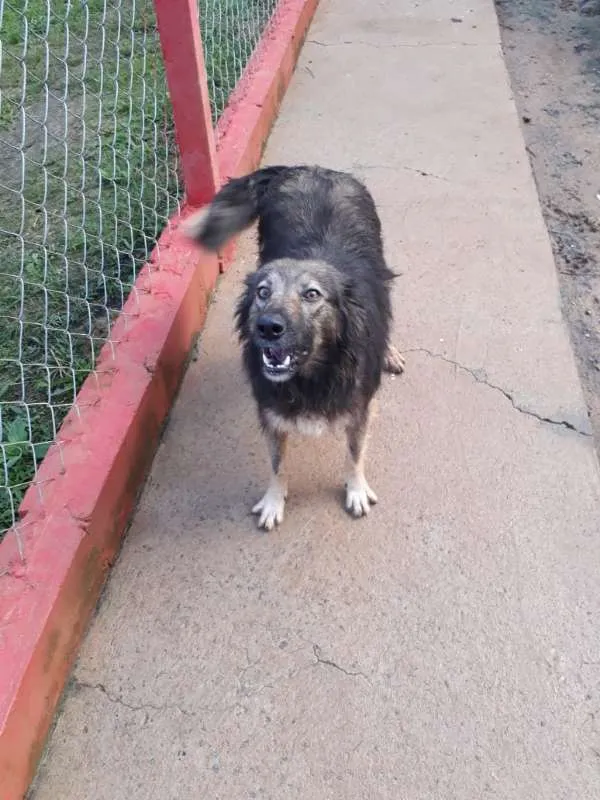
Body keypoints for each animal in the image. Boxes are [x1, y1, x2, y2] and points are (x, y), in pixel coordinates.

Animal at [183, 165, 404, 528]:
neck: (312, 373)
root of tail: (311, 168)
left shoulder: (360, 407)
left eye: (312, 294)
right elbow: (277, 463)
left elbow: (354, 454)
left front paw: (356, 490)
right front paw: (274, 501)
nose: (267, 327)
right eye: (262, 292)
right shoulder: (271, 412)